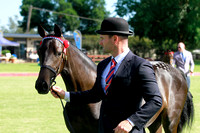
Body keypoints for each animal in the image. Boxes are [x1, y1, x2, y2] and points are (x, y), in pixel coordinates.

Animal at [34, 24, 194, 132]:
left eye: (58, 52)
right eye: (40, 51)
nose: (41, 84)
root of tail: (177, 73)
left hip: (171, 122)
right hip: (155, 123)